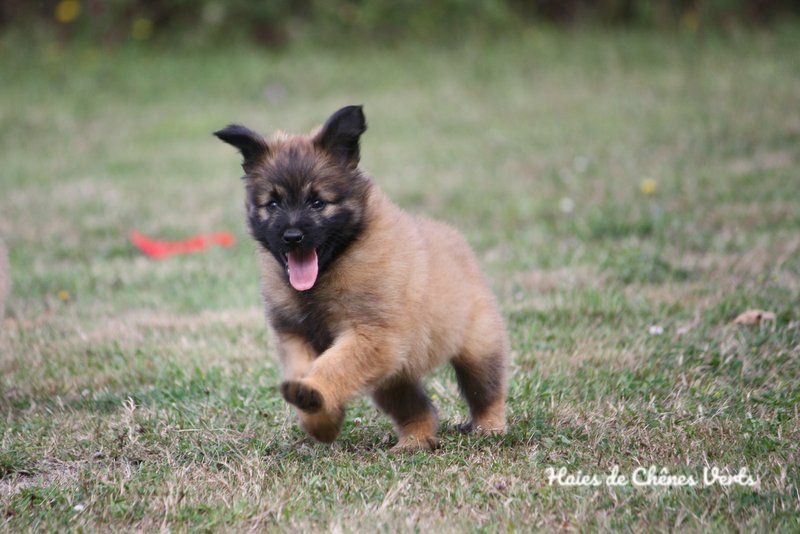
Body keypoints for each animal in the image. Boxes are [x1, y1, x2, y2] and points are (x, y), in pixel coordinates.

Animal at [216, 107, 510, 450]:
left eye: (317, 202)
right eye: (273, 203)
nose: (292, 236)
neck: (329, 271)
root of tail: (459, 244)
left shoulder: (372, 337)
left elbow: (334, 365)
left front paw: (313, 393)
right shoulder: (294, 335)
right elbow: (306, 368)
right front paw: (321, 421)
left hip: (478, 346)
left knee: (486, 391)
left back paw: (489, 426)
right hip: (392, 378)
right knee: (419, 409)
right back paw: (414, 442)